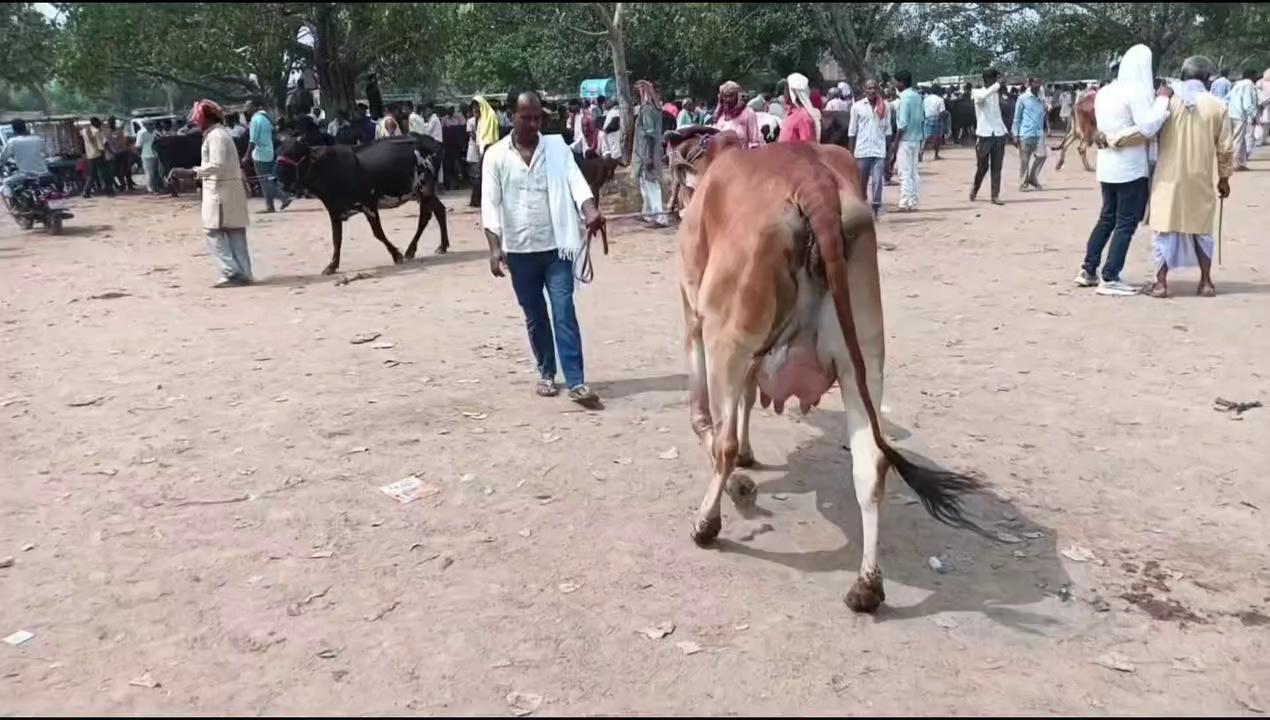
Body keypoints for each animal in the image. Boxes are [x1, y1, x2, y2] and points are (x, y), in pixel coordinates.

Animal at [275, 132, 449, 275]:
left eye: (294, 152)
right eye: (279, 151)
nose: (278, 178)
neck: (329, 169)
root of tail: (433, 142)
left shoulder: (369, 205)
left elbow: (378, 233)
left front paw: (396, 255)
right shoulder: (334, 211)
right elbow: (336, 239)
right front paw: (332, 265)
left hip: (424, 190)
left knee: (426, 217)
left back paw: (413, 250)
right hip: (423, 192)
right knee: (438, 211)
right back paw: (439, 246)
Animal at [670, 130, 985, 614]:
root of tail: (812, 180)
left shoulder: (695, 316)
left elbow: (704, 417)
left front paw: (740, 480)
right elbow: (745, 400)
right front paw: (749, 458)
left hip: (729, 337)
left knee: (722, 443)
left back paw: (706, 523)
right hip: (863, 360)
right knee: (872, 465)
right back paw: (867, 586)